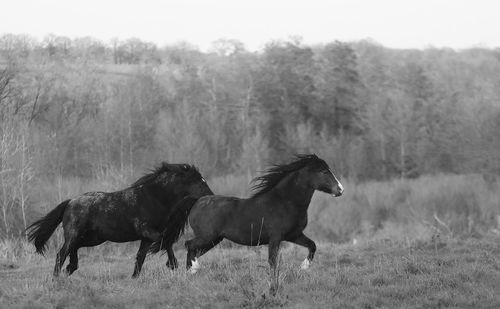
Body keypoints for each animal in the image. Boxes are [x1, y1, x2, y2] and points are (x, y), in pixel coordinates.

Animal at [25, 162, 213, 276]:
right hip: (74, 235)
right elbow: (164, 241)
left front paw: (135, 278)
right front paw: (173, 264)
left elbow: (141, 257)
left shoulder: (145, 238)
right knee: (61, 254)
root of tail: (70, 202)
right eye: (200, 181)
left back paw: (70, 268)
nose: (212, 196)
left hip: (92, 238)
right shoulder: (147, 230)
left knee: (72, 250)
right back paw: (57, 278)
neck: (152, 198)